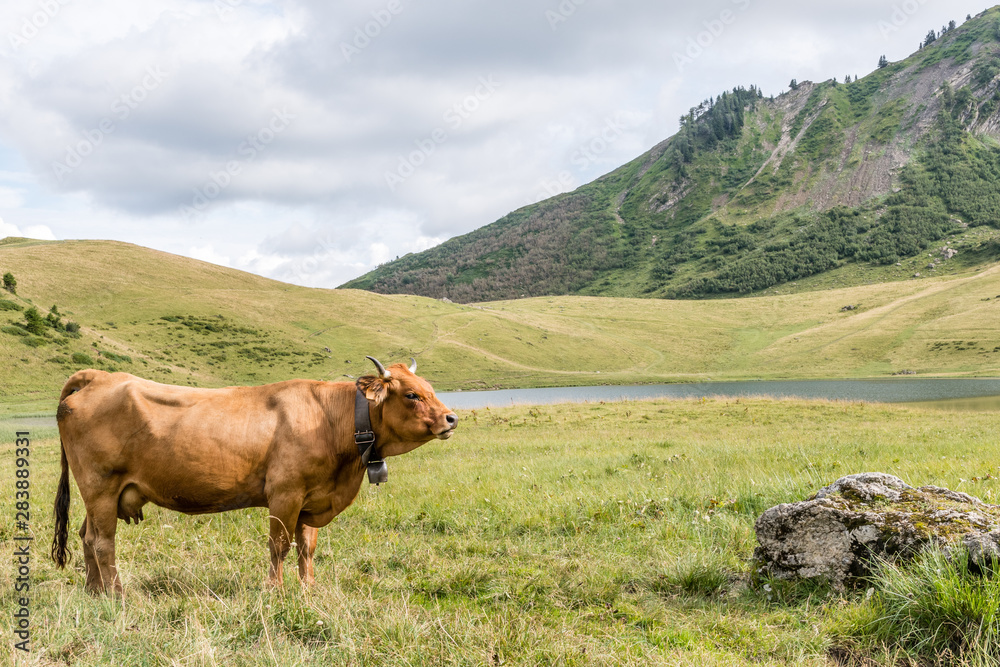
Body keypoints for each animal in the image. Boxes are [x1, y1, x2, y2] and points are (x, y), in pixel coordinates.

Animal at [51, 357, 457, 594]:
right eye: (411, 395)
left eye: (430, 389)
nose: (451, 417)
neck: (330, 418)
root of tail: (99, 376)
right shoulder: (285, 494)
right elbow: (279, 546)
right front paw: (275, 590)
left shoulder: (311, 498)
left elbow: (307, 547)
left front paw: (308, 589)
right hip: (100, 487)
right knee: (103, 542)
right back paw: (116, 594)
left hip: (100, 494)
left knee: (87, 537)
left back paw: (93, 591)